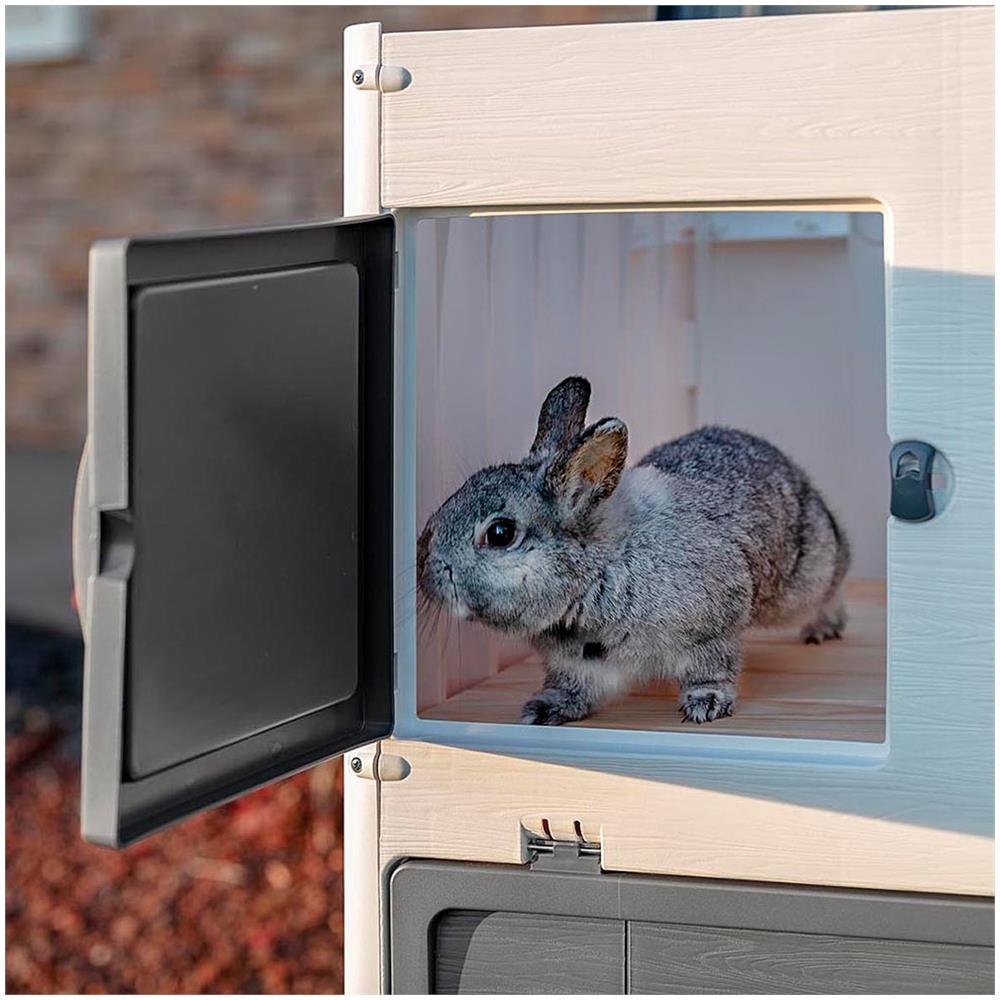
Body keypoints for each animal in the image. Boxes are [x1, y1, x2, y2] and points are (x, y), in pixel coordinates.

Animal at [417, 376, 850, 725]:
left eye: (500, 533)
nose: (425, 569)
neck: (598, 571)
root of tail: (792, 469)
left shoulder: (712, 629)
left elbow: (712, 668)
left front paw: (705, 706)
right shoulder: (573, 664)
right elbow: (572, 686)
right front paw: (544, 709)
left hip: (802, 581)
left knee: (833, 583)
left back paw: (824, 628)